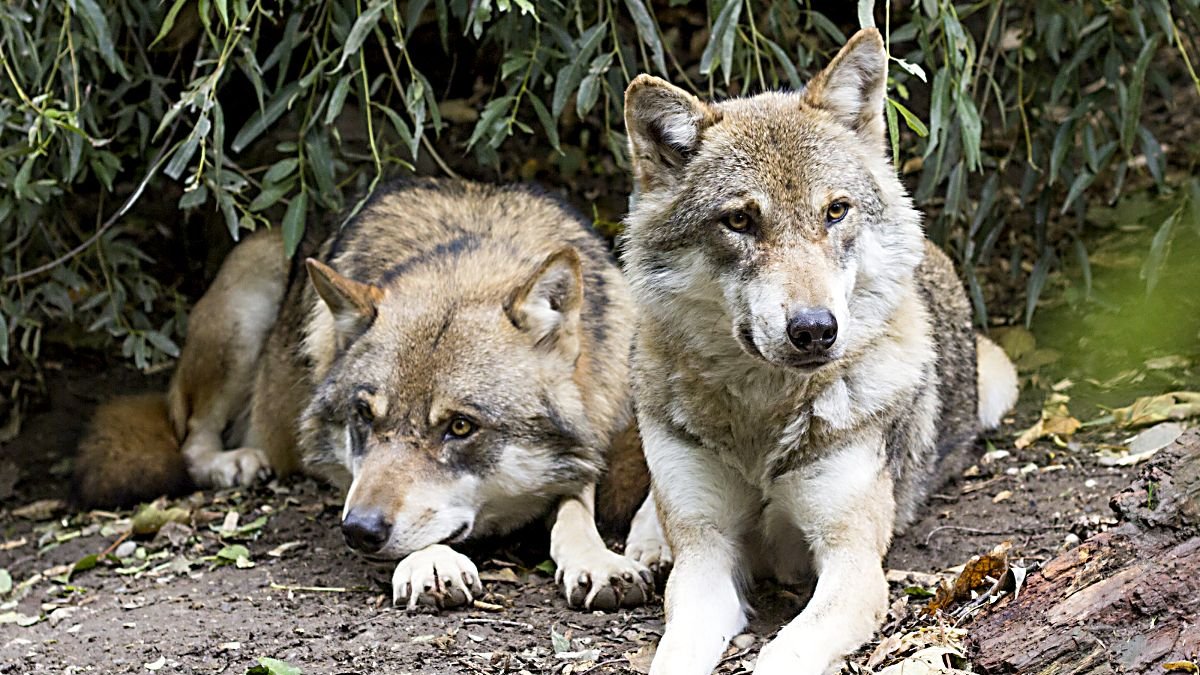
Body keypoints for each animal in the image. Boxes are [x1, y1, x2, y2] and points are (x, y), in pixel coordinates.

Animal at [72, 177, 657, 610]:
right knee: (191, 439)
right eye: (363, 417)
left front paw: (599, 560)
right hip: (247, 298)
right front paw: (433, 562)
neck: (470, 252)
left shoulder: (600, 436)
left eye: (460, 426)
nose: (358, 531)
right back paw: (236, 462)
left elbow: (578, 505)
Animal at [619, 27, 1022, 672]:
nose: (814, 329)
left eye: (835, 211)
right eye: (739, 221)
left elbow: (782, 655)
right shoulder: (705, 561)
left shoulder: (853, 565)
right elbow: (674, 653)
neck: (761, 417)